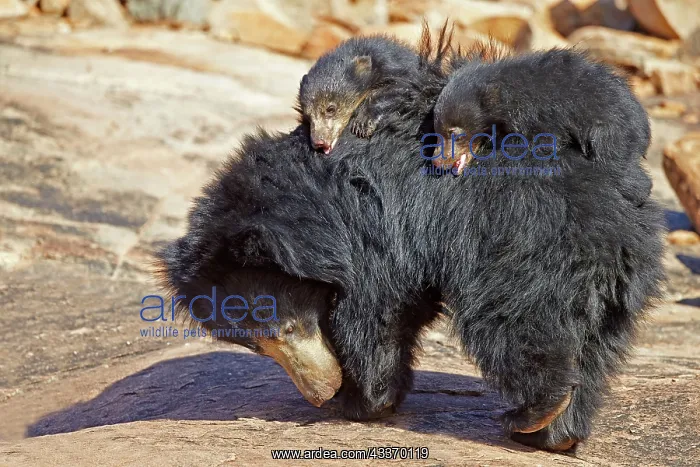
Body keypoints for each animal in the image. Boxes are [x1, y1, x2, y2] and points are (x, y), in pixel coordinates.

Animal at [157, 31, 665, 452]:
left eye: (288, 327)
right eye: (257, 346)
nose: (319, 393)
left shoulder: (375, 231)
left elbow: (373, 315)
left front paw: (363, 401)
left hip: (525, 239)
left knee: (515, 320)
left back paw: (534, 413)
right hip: (621, 267)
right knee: (599, 339)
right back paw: (559, 433)